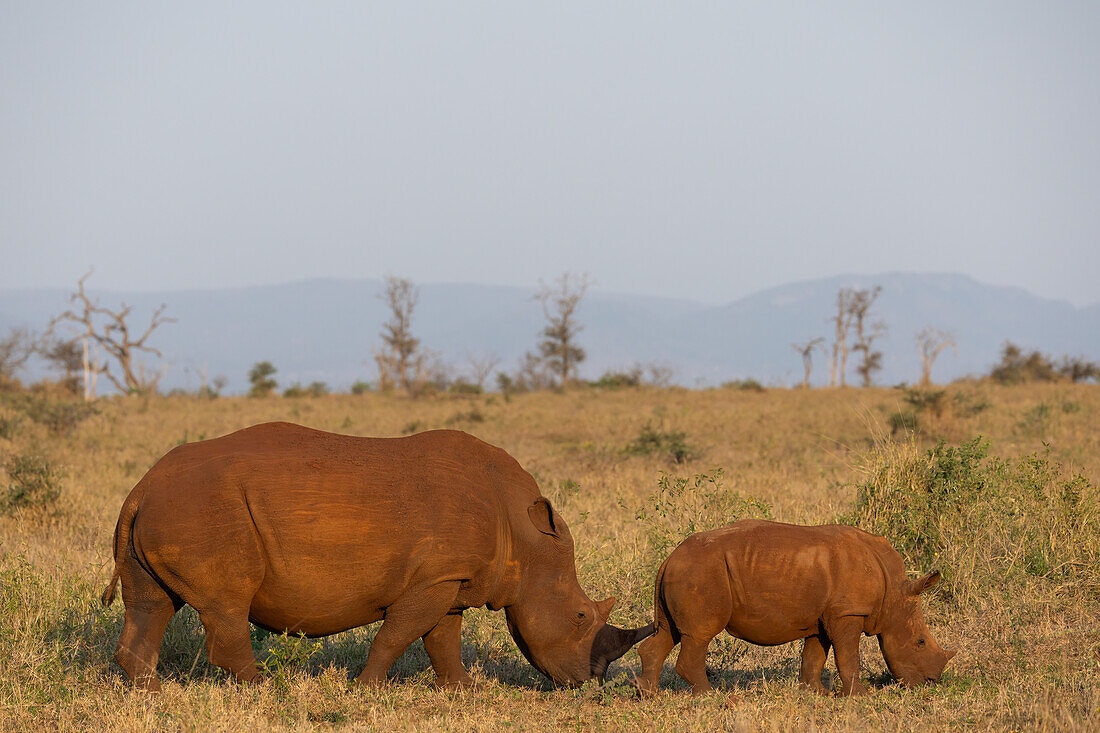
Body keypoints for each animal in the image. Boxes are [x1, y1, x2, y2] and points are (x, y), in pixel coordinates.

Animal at [101, 420, 651, 686]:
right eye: (580, 616)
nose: (589, 683)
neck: (526, 537)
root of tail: (140, 489)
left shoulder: (450, 578)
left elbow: (442, 640)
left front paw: (464, 691)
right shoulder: (435, 578)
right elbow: (399, 634)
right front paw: (365, 689)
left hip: (171, 507)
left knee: (152, 603)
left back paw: (153, 694)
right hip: (204, 509)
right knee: (226, 605)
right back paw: (263, 689)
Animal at [638, 517, 954, 695]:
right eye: (920, 642)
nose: (931, 683)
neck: (894, 593)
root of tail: (669, 558)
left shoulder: (823, 615)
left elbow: (814, 654)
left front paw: (816, 693)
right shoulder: (847, 612)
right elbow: (848, 656)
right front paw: (861, 696)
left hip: (688, 571)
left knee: (669, 632)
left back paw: (649, 695)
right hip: (701, 572)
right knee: (699, 635)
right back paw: (710, 696)